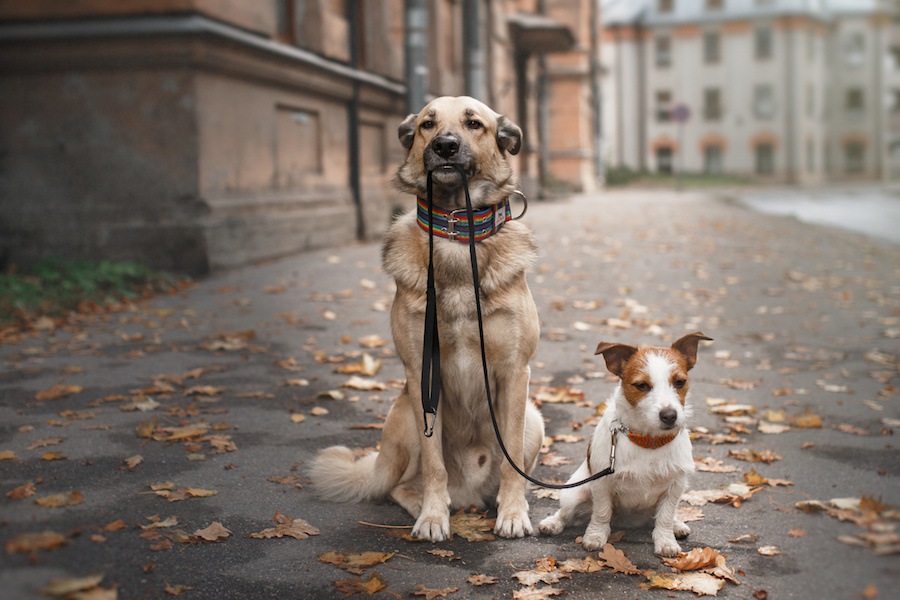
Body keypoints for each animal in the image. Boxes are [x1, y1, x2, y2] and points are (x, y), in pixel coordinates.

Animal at [312, 96, 544, 540]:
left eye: (474, 123)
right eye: (427, 124)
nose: (445, 146)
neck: (456, 231)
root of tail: (470, 492)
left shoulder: (515, 373)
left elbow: (512, 464)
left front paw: (512, 513)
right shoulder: (423, 373)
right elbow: (434, 464)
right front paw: (434, 516)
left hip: (532, 419)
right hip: (404, 411)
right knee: (400, 485)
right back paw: (426, 503)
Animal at [536, 330, 712, 556]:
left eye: (680, 382)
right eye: (642, 385)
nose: (669, 416)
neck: (648, 441)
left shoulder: (675, 486)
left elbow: (664, 517)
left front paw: (666, 541)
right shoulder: (602, 484)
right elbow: (601, 513)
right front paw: (595, 536)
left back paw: (677, 524)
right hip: (574, 494)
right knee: (565, 513)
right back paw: (553, 523)